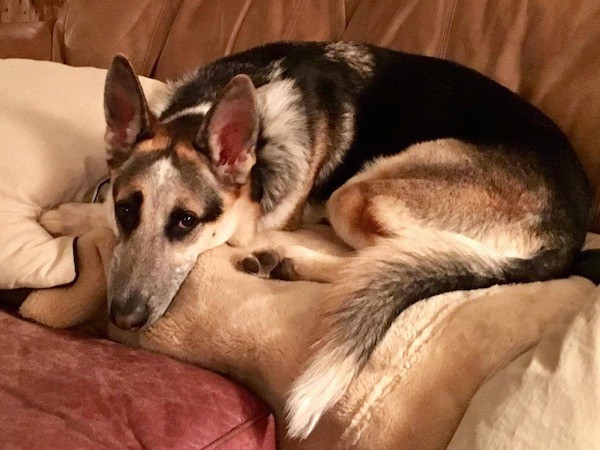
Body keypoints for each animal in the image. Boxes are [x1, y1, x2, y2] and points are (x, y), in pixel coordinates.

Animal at [41, 42, 592, 440]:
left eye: (185, 222)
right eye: (127, 210)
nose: (123, 317)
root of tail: (571, 228)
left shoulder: (250, 222)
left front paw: (69, 215)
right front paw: (73, 212)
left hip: (357, 194)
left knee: (390, 255)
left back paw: (286, 260)